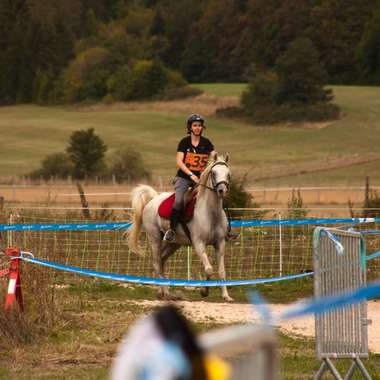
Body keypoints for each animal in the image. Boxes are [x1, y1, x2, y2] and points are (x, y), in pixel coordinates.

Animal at [127, 153, 233, 302]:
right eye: (213, 173)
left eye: (228, 174)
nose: (222, 190)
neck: (211, 212)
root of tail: (153, 199)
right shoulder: (199, 243)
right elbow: (209, 269)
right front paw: (204, 291)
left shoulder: (220, 243)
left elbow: (221, 271)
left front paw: (226, 296)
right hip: (154, 239)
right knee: (156, 263)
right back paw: (165, 293)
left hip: (174, 244)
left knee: (162, 260)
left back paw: (164, 292)